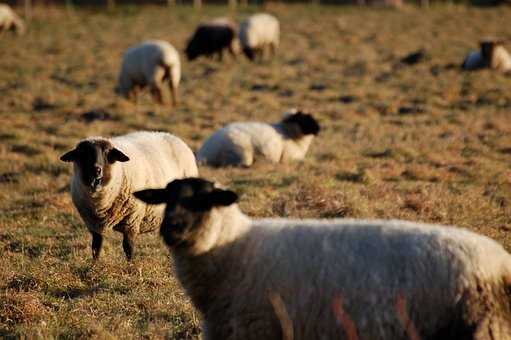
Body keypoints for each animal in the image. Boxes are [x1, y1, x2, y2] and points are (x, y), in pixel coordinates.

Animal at [61, 131, 200, 262]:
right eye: (83, 153)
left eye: (106, 152)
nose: (96, 170)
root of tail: (173, 137)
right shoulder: (93, 224)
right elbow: (96, 247)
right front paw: (95, 265)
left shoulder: (132, 220)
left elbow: (128, 247)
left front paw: (130, 265)